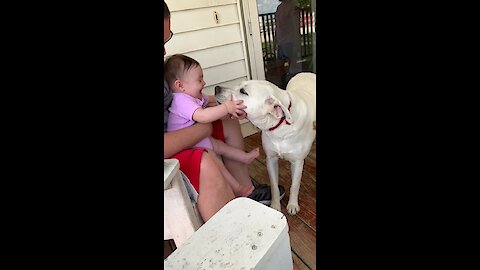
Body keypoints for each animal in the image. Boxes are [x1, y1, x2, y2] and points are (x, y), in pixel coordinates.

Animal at [216, 72, 316, 215]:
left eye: (243, 91)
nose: (216, 88)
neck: (280, 124)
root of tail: (306, 72)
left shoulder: (297, 162)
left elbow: (295, 185)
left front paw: (292, 204)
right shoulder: (271, 159)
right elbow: (274, 186)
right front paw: (275, 206)